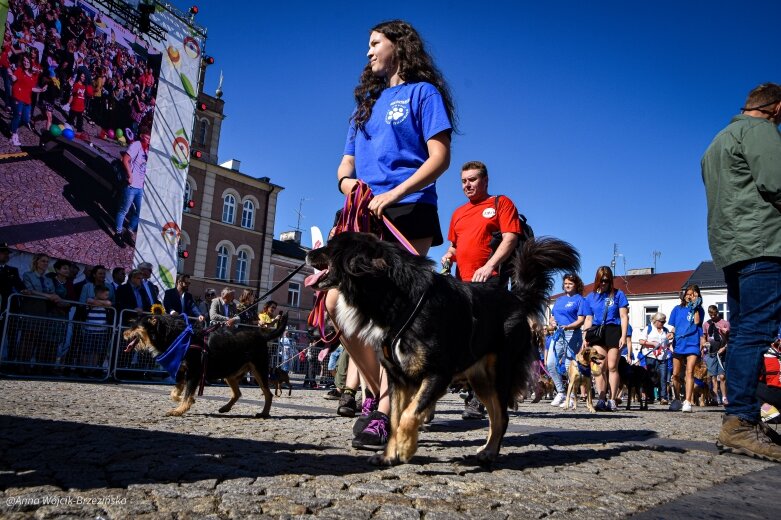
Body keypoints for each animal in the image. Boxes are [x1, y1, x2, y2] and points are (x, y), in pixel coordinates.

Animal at [124, 312, 286, 418]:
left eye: (134, 326)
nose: (124, 334)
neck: (177, 337)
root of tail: (262, 335)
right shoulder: (182, 373)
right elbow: (175, 393)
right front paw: (183, 401)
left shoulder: (193, 374)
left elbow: (187, 394)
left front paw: (179, 410)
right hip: (229, 373)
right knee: (238, 393)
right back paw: (225, 408)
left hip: (259, 370)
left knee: (268, 394)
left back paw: (264, 413)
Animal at [306, 232, 580, 464]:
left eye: (331, 247)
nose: (309, 253)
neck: (400, 298)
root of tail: (517, 299)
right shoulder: (398, 378)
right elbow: (396, 417)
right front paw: (389, 455)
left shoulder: (438, 373)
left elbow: (410, 414)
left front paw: (405, 447)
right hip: (481, 379)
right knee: (495, 416)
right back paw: (487, 449)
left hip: (500, 374)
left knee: (502, 417)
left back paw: (490, 452)